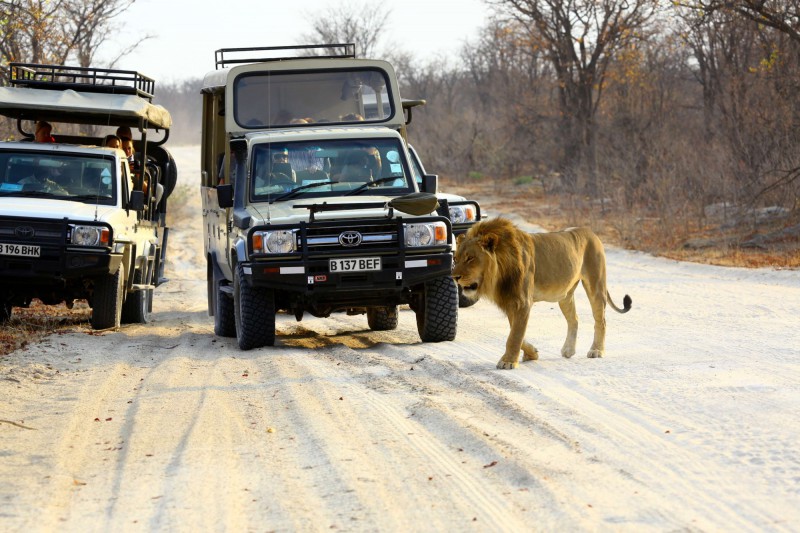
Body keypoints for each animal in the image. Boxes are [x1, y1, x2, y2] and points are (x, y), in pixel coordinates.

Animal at [450, 218, 632, 368]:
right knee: (574, 319)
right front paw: (532, 354)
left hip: (596, 286)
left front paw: (508, 361)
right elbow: (517, 332)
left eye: (470, 258)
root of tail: (591, 232)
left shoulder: (522, 302)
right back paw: (568, 349)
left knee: (601, 321)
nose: (454, 277)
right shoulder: (511, 302)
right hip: (565, 295)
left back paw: (597, 350)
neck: (499, 273)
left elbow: (514, 335)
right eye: (455, 259)